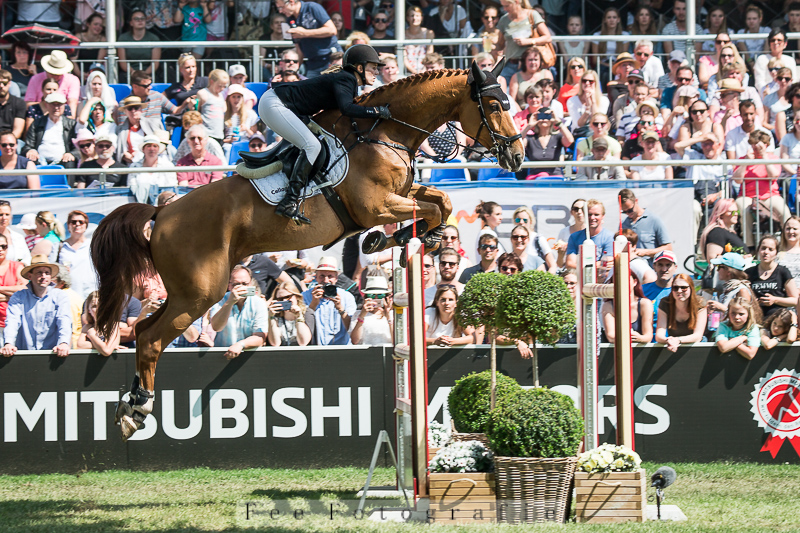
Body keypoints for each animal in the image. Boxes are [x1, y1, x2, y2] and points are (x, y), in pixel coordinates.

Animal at [92, 61, 524, 440]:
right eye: (495, 105)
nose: (517, 157)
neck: (385, 132)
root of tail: (162, 212)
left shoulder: (401, 195)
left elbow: (441, 203)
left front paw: (408, 240)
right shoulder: (376, 206)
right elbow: (432, 209)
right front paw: (390, 241)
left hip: (183, 291)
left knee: (143, 330)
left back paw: (129, 406)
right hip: (201, 291)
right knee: (151, 339)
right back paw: (139, 409)